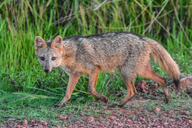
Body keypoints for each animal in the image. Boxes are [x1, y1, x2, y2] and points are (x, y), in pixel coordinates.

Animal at [34, 32, 180, 107]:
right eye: (42, 58)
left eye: (53, 58)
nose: (46, 70)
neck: (72, 53)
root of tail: (142, 38)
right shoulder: (75, 75)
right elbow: (68, 92)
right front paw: (61, 103)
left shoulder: (94, 70)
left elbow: (91, 90)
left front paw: (104, 99)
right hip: (135, 71)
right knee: (161, 79)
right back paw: (166, 99)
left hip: (127, 72)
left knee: (135, 90)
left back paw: (119, 104)